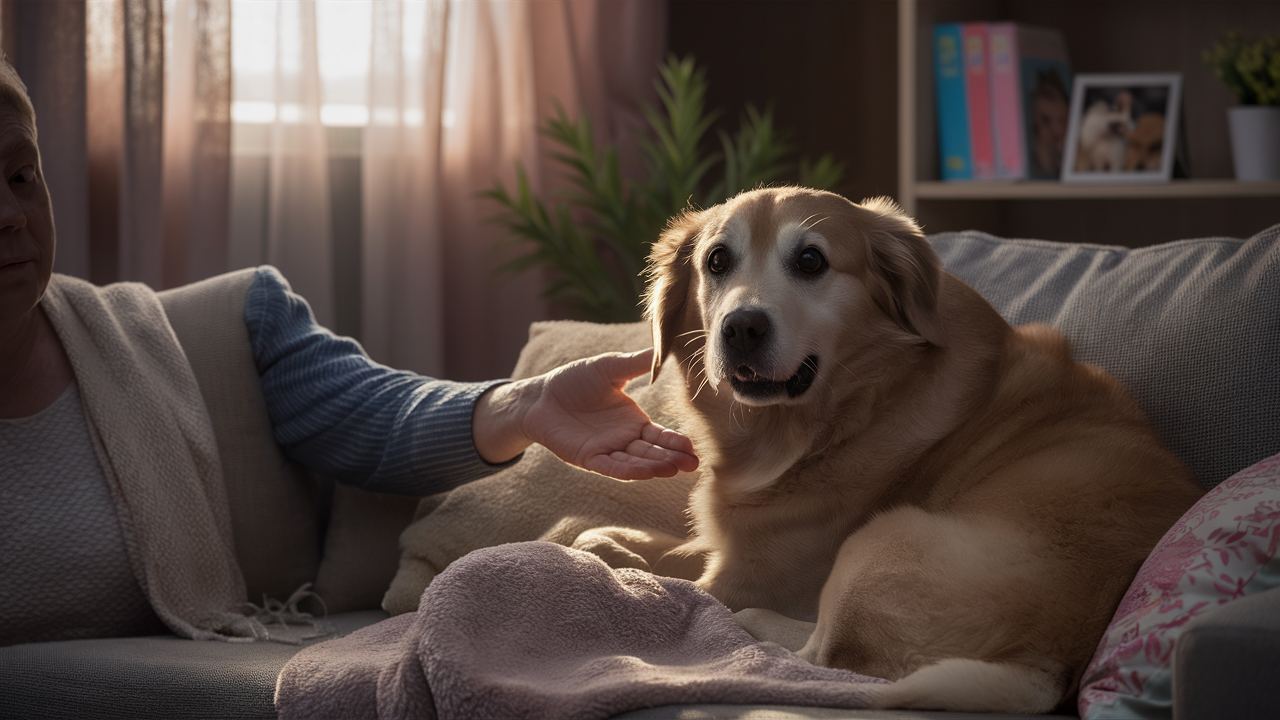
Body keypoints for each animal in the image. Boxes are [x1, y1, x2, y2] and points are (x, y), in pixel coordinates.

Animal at [586, 188, 1203, 712]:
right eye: (716, 261)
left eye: (810, 261)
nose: (741, 328)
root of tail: (1050, 666)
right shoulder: (739, 543)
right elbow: (663, 543)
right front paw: (611, 537)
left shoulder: (743, 575)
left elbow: (674, 581)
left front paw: (620, 559)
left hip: (878, 544)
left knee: (817, 654)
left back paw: (754, 625)